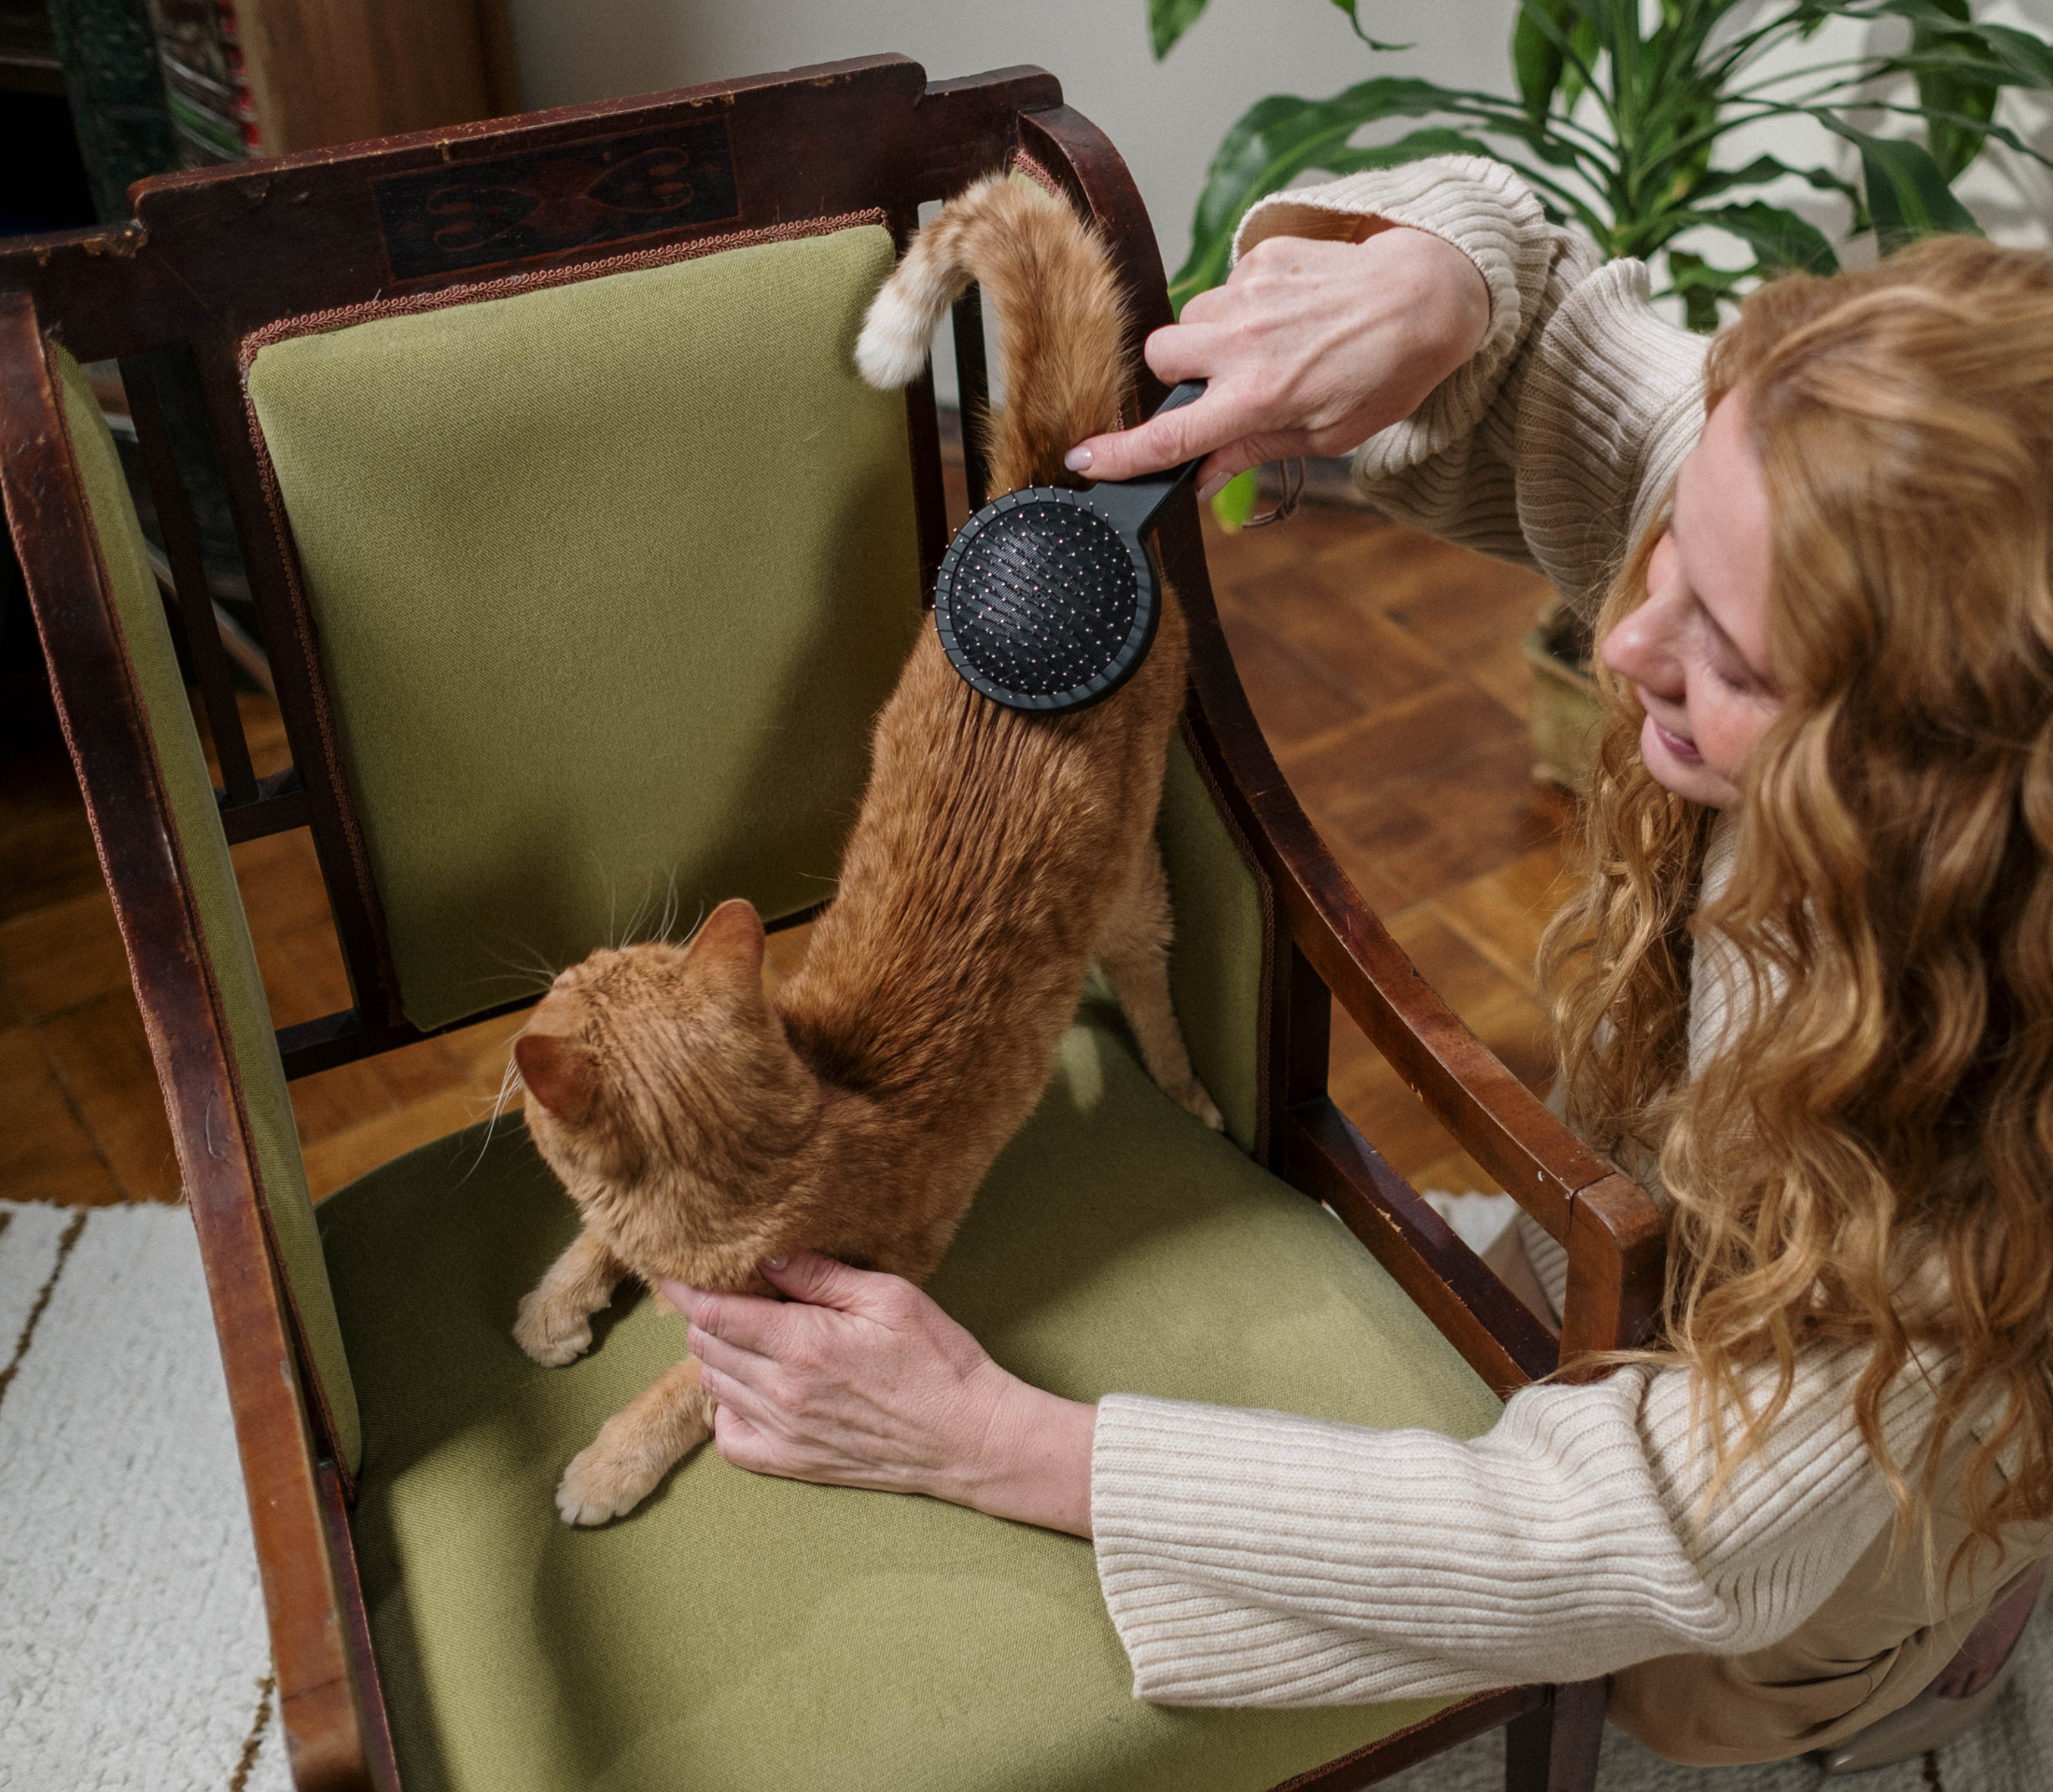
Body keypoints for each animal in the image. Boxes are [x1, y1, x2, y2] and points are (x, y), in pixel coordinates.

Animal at [513, 174, 1215, 1527]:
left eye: (576, 983)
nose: (558, 967)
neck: (801, 1122)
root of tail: (1060, 499)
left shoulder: (815, 1306)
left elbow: (686, 1384)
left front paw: (605, 1461)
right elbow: (590, 1237)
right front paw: (554, 1305)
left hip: (1130, 894)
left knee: (1155, 992)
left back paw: (1190, 1091)